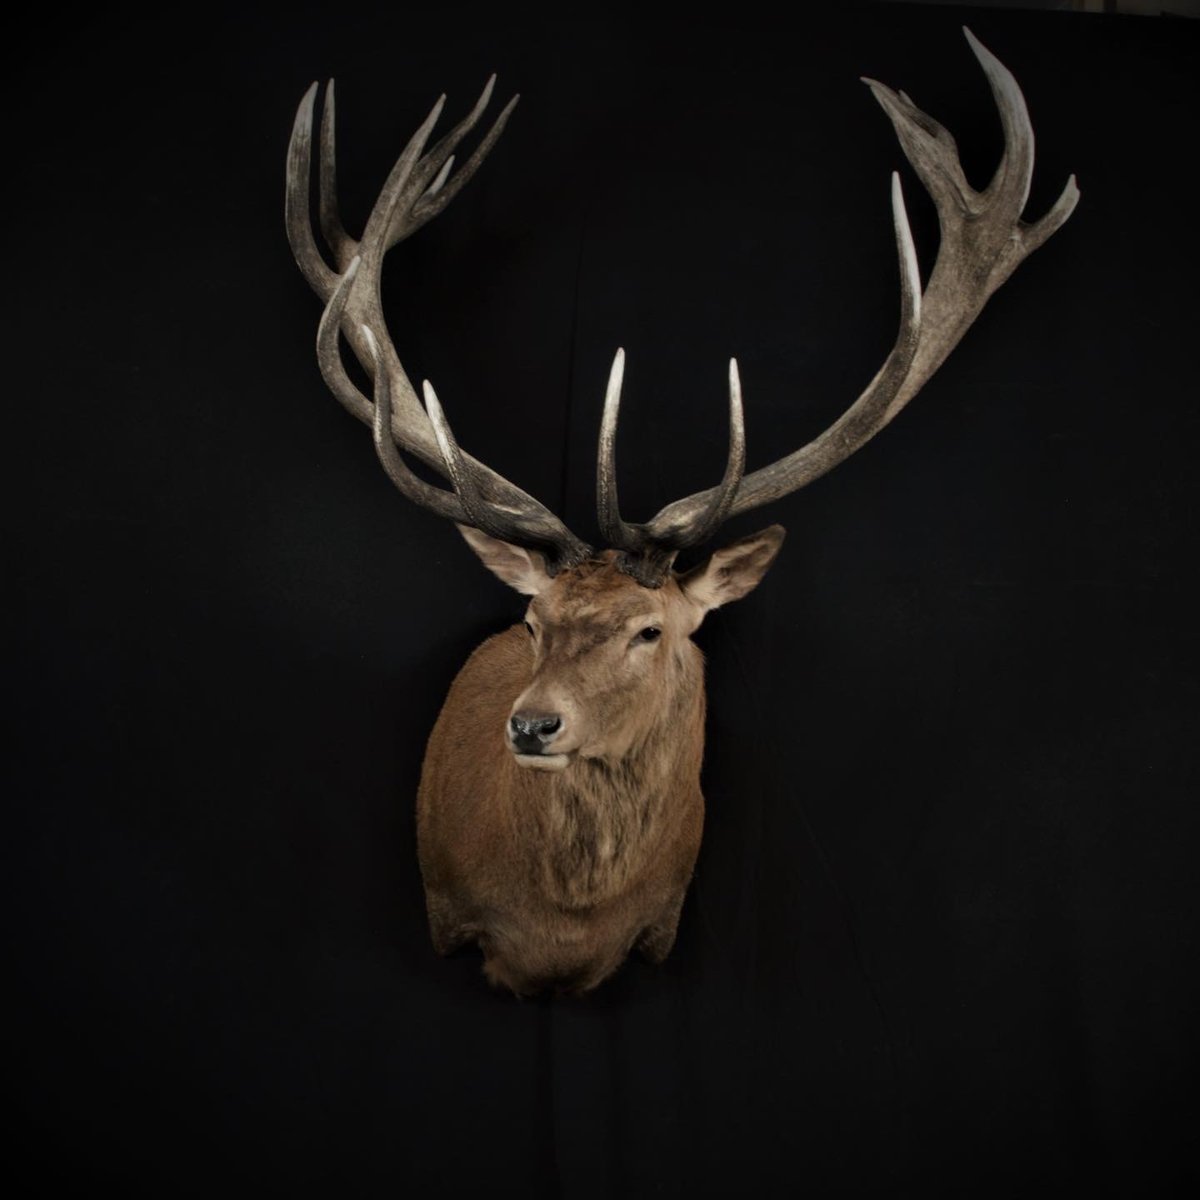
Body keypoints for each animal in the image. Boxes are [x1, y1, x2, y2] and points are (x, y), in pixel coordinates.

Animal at [285, 29, 1077, 996]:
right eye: (533, 619)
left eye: (649, 630)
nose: (532, 723)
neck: (561, 933)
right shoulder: (447, 915)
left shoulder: (660, 932)